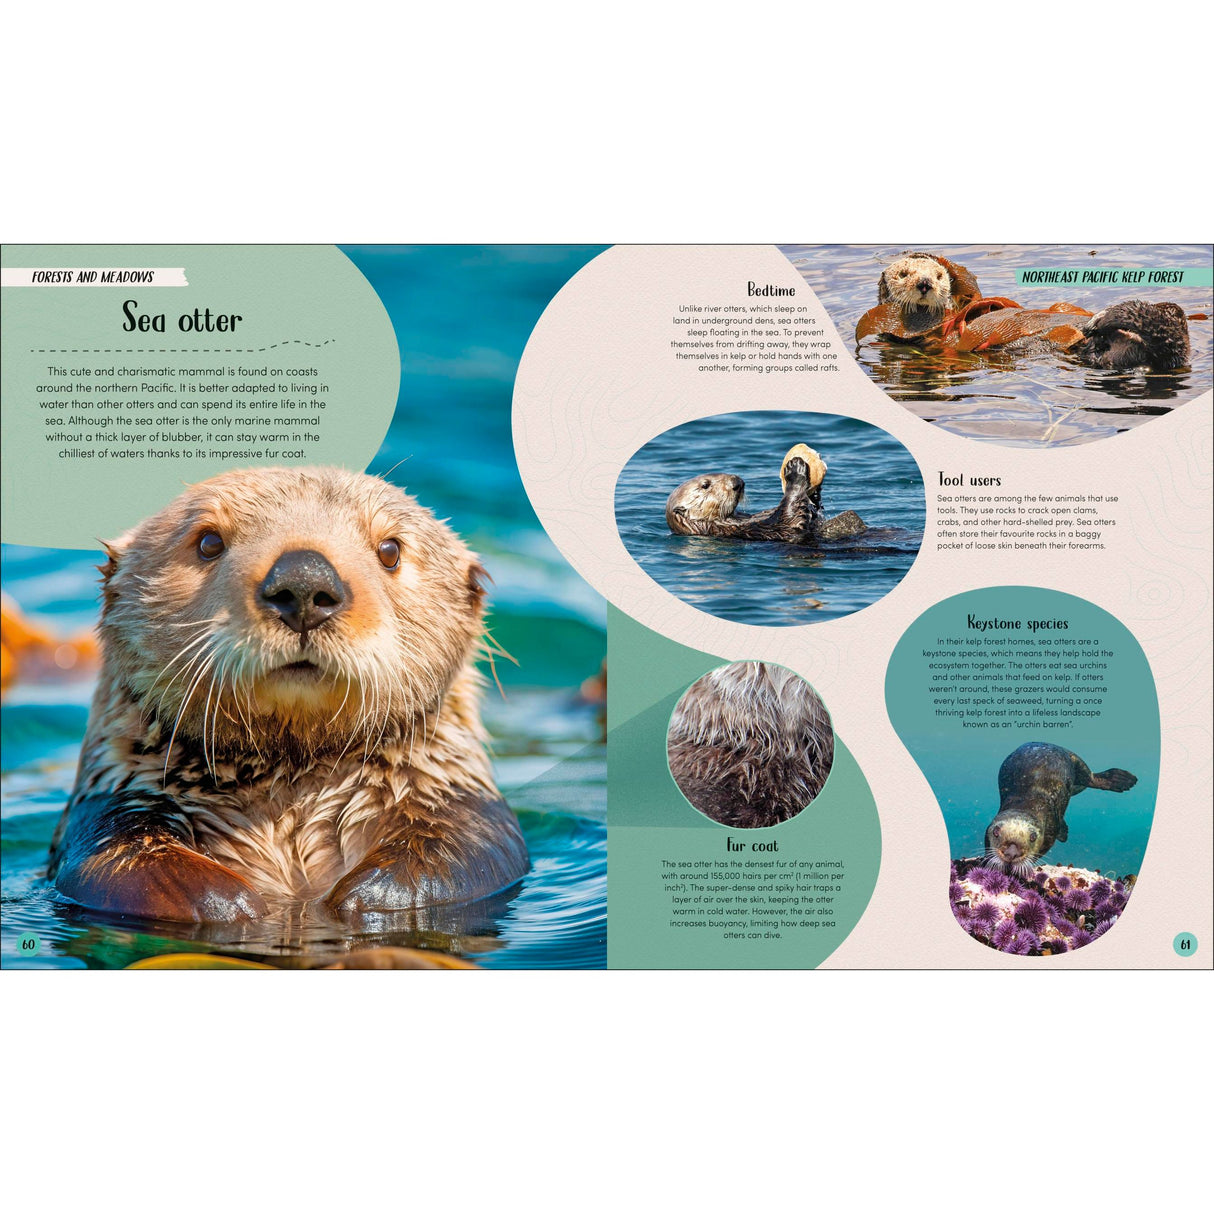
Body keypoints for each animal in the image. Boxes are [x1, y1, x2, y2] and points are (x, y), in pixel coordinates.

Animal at [47, 465, 529, 924]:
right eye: (208, 542)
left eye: (390, 550)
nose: (303, 580)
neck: (290, 793)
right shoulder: (122, 803)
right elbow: (128, 862)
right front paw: (228, 904)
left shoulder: (449, 799)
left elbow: (456, 857)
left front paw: (365, 897)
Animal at [983, 742, 1137, 878]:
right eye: (995, 832)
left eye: (1033, 837)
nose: (1011, 853)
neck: (1026, 802)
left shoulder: (1050, 831)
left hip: (1076, 761)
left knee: (1090, 777)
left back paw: (1121, 779)